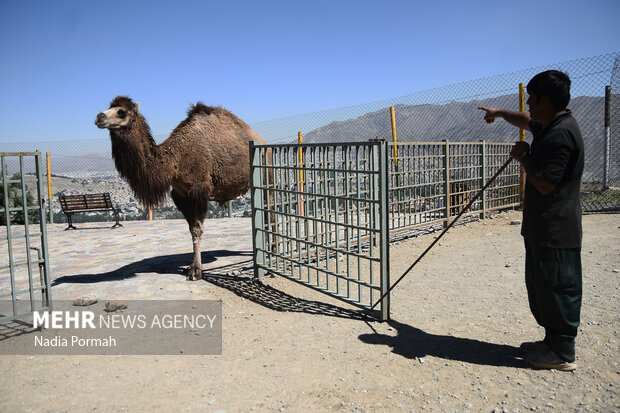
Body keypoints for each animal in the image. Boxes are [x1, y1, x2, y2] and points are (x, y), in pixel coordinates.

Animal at [95, 94, 266, 278]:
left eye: (122, 112)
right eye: (110, 107)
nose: (99, 117)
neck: (174, 160)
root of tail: (261, 139)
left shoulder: (199, 189)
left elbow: (197, 229)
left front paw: (196, 271)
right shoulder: (180, 195)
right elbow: (191, 229)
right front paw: (190, 267)